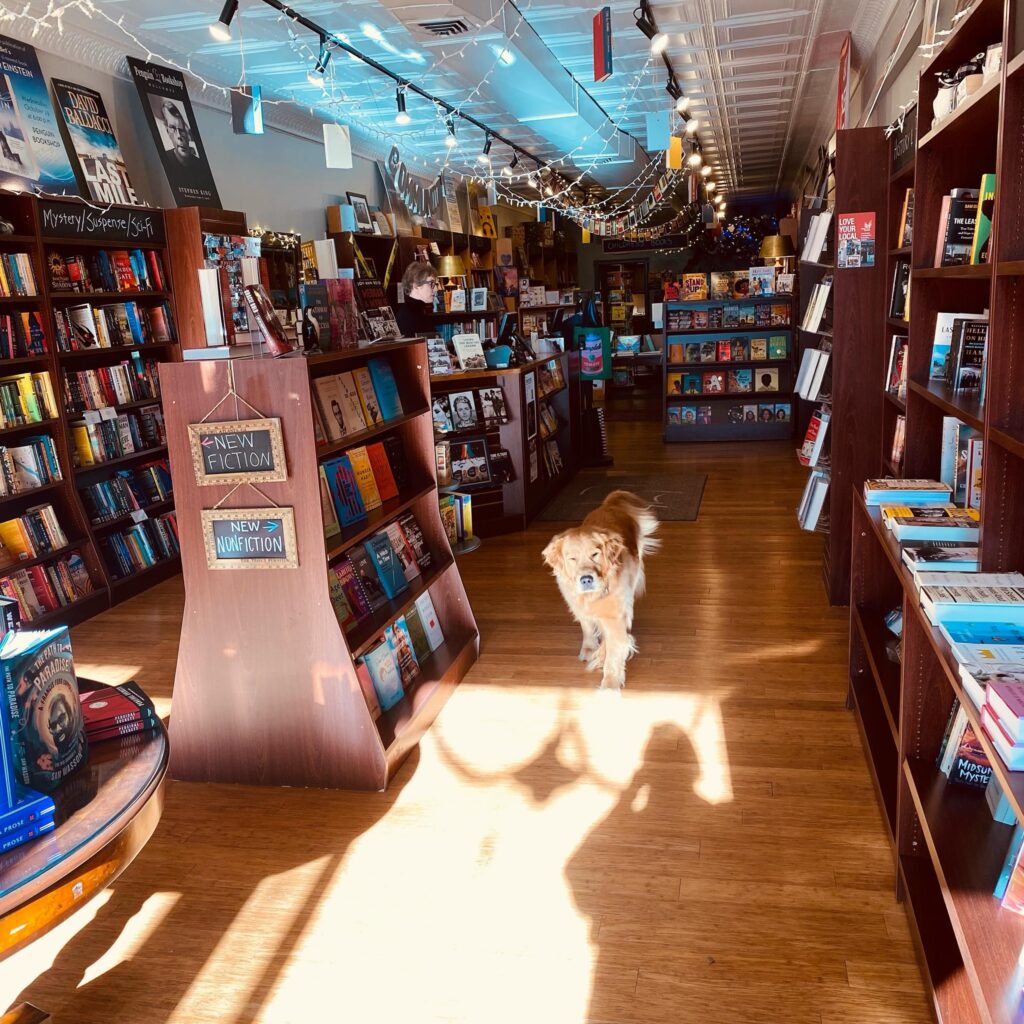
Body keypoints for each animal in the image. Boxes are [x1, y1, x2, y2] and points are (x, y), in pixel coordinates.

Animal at [540, 489, 659, 688]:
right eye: (572, 558)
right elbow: (587, 627)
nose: (586, 579)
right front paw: (589, 648)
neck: (594, 595)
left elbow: (613, 649)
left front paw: (610, 684)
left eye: (595, 554)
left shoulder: (615, 617)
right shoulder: (579, 607)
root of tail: (609, 504)